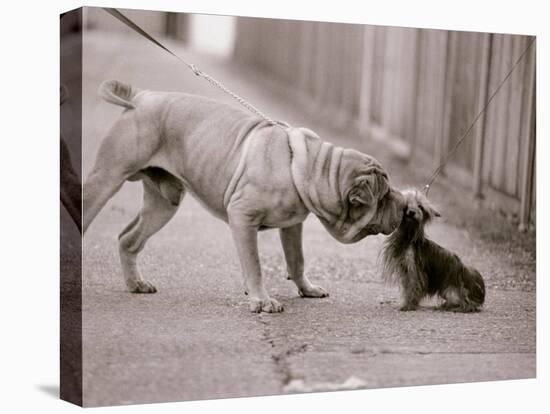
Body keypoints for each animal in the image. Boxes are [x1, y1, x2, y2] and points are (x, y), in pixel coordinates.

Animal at [85, 80, 406, 314]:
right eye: (385, 196)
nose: (403, 203)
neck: (314, 168)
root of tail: (141, 97)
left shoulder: (293, 226)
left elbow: (297, 260)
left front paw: (306, 288)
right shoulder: (242, 217)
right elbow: (254, 263)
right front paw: (261, 300)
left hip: (164, 203)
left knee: (129, 239)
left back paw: (136, 283)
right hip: (107, 178)